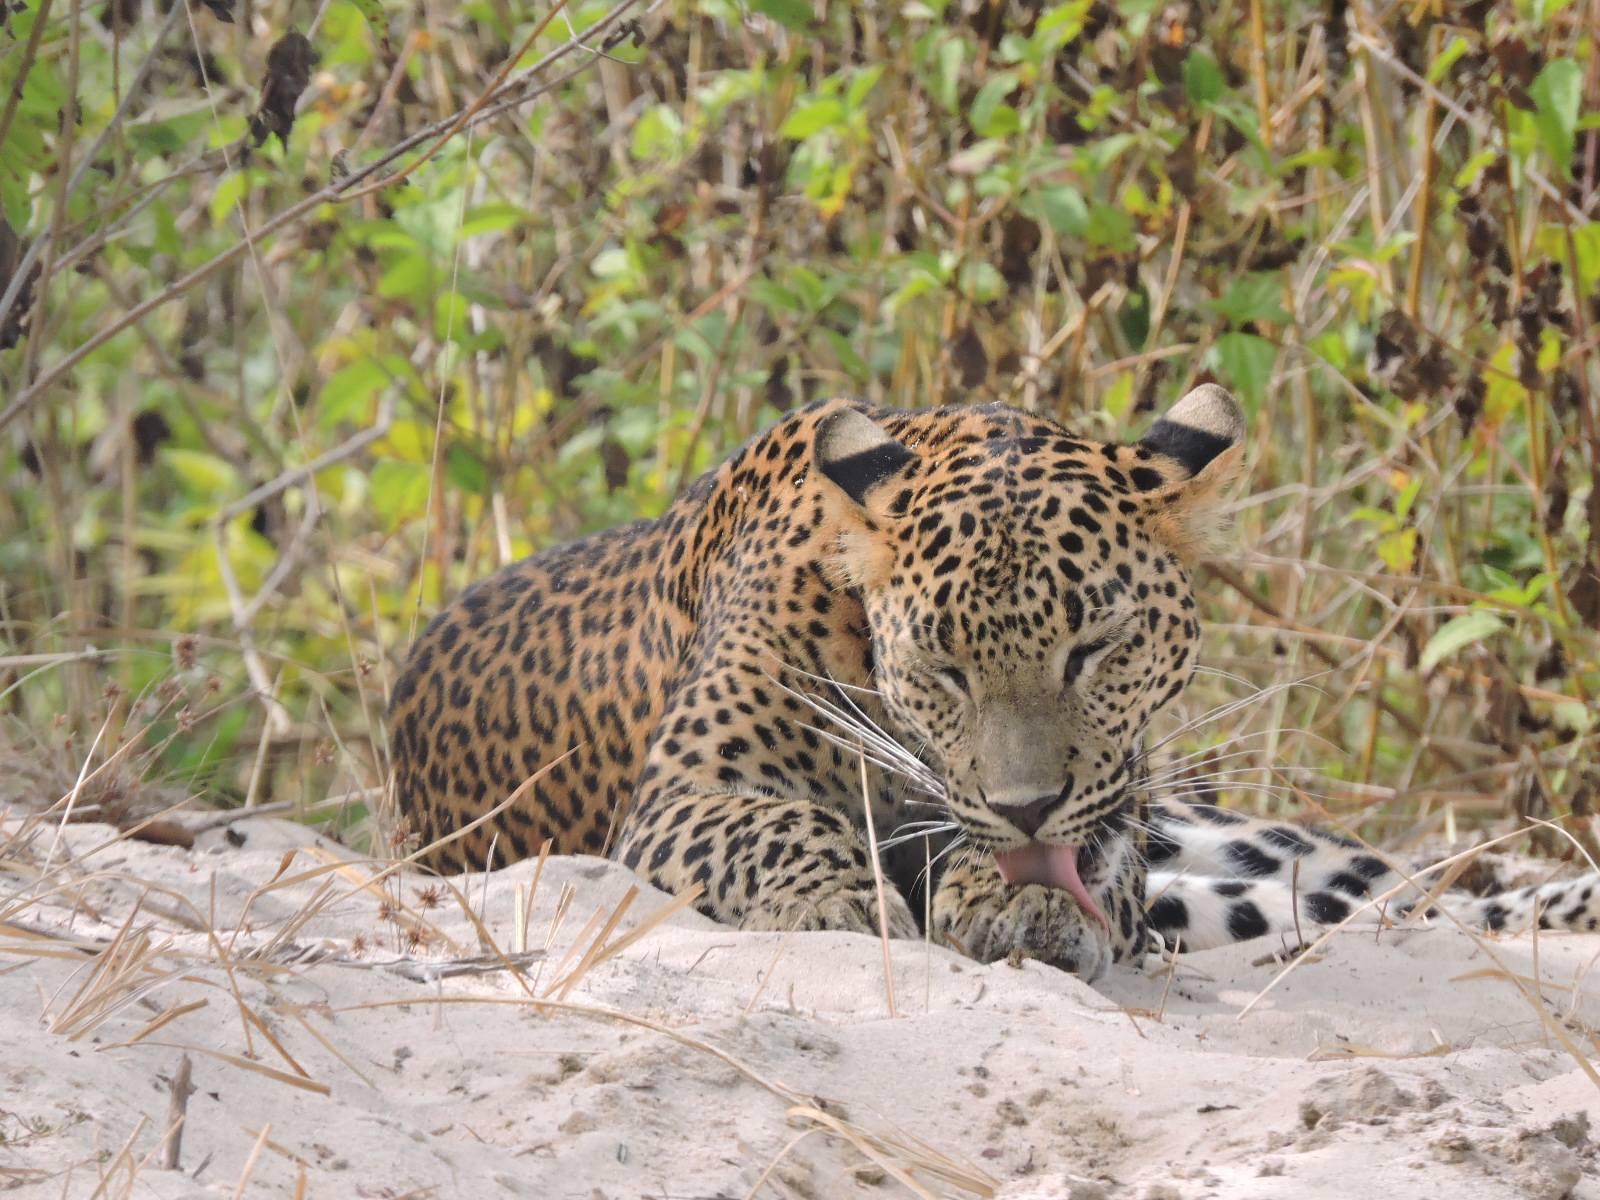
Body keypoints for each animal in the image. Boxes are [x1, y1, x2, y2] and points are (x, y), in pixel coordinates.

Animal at [388, 387, 1600, 981]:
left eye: (1095, 648)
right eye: (943, 667)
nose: (1026, 808)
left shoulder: (1118, 820)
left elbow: (1075, 864)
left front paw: (1017, 900)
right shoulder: (687, 791)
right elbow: (780, 827)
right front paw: (839, 902)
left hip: (1236, 841)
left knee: (1409, 889)